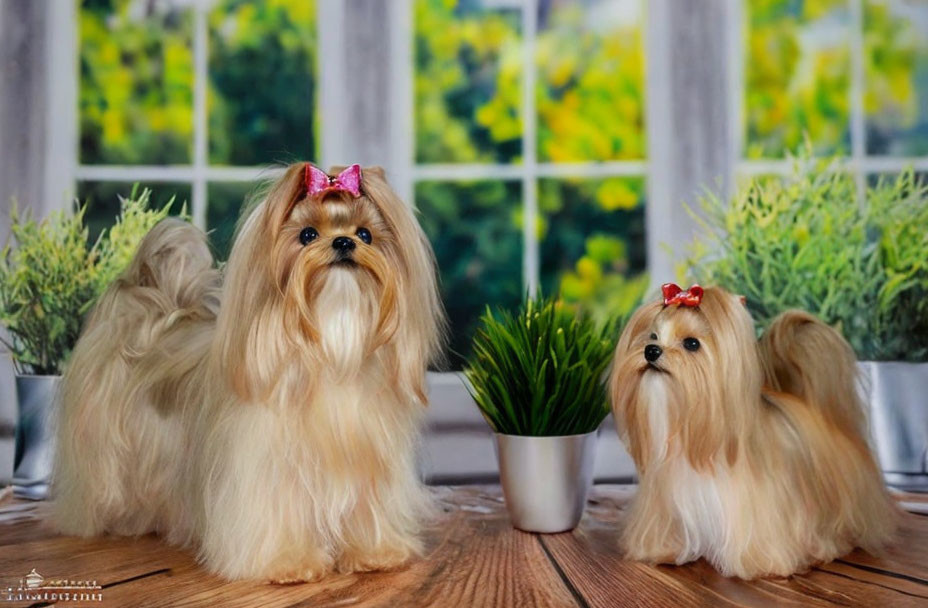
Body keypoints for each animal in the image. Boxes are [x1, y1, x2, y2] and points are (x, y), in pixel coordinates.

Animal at [52, 164, 448, 580]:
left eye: (365, 234)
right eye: (307, 235)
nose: (344, 242)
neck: (330, 348)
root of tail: (154, 314)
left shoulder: (366, 464)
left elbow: (364, 508)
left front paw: (374, 553)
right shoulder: (270, 470)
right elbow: (279, 514)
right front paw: (291, 561)